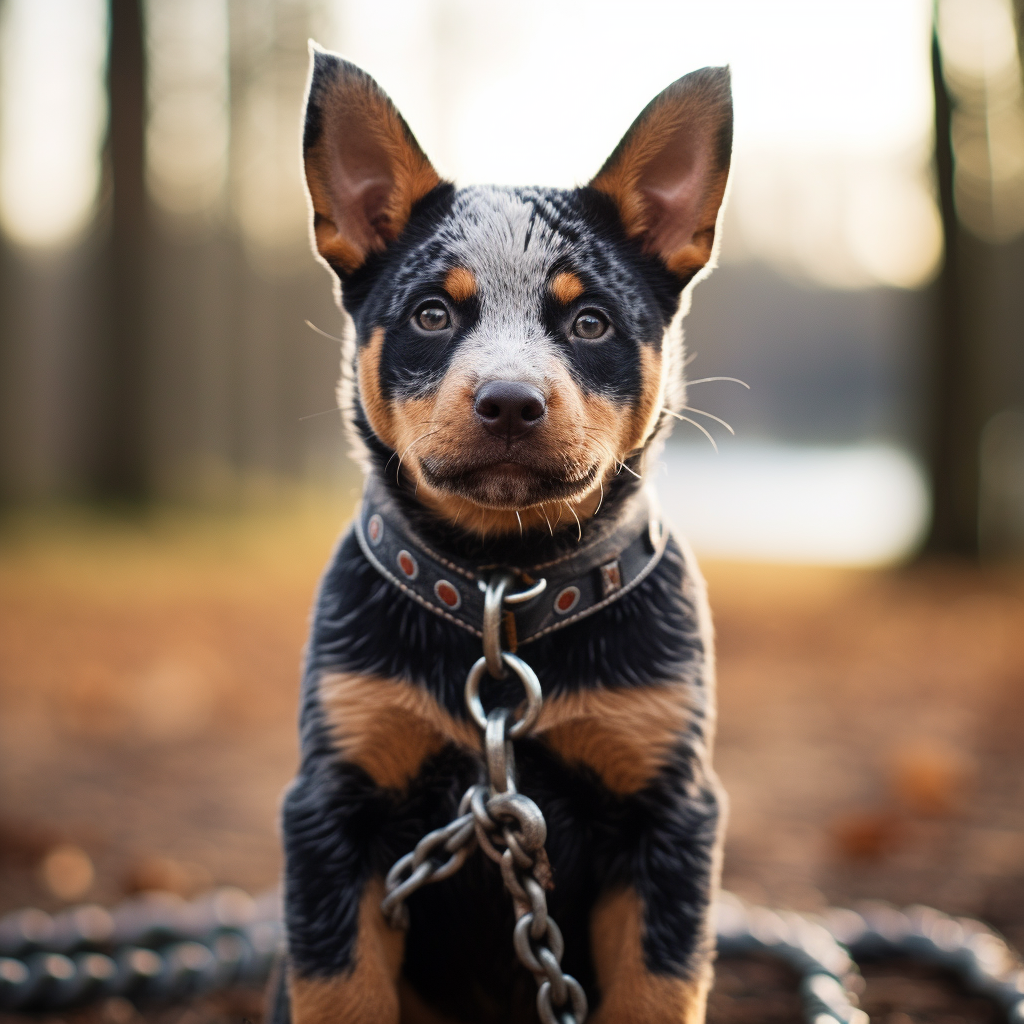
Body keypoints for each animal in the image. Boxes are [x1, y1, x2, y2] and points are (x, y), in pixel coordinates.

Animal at [276, 41, 733, 1024]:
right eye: (432, 313)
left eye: (590, 320)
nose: (511, 402)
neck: (500, 586)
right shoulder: (333, 810)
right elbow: (340, 990)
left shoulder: (667, 815)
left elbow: (655, 991)